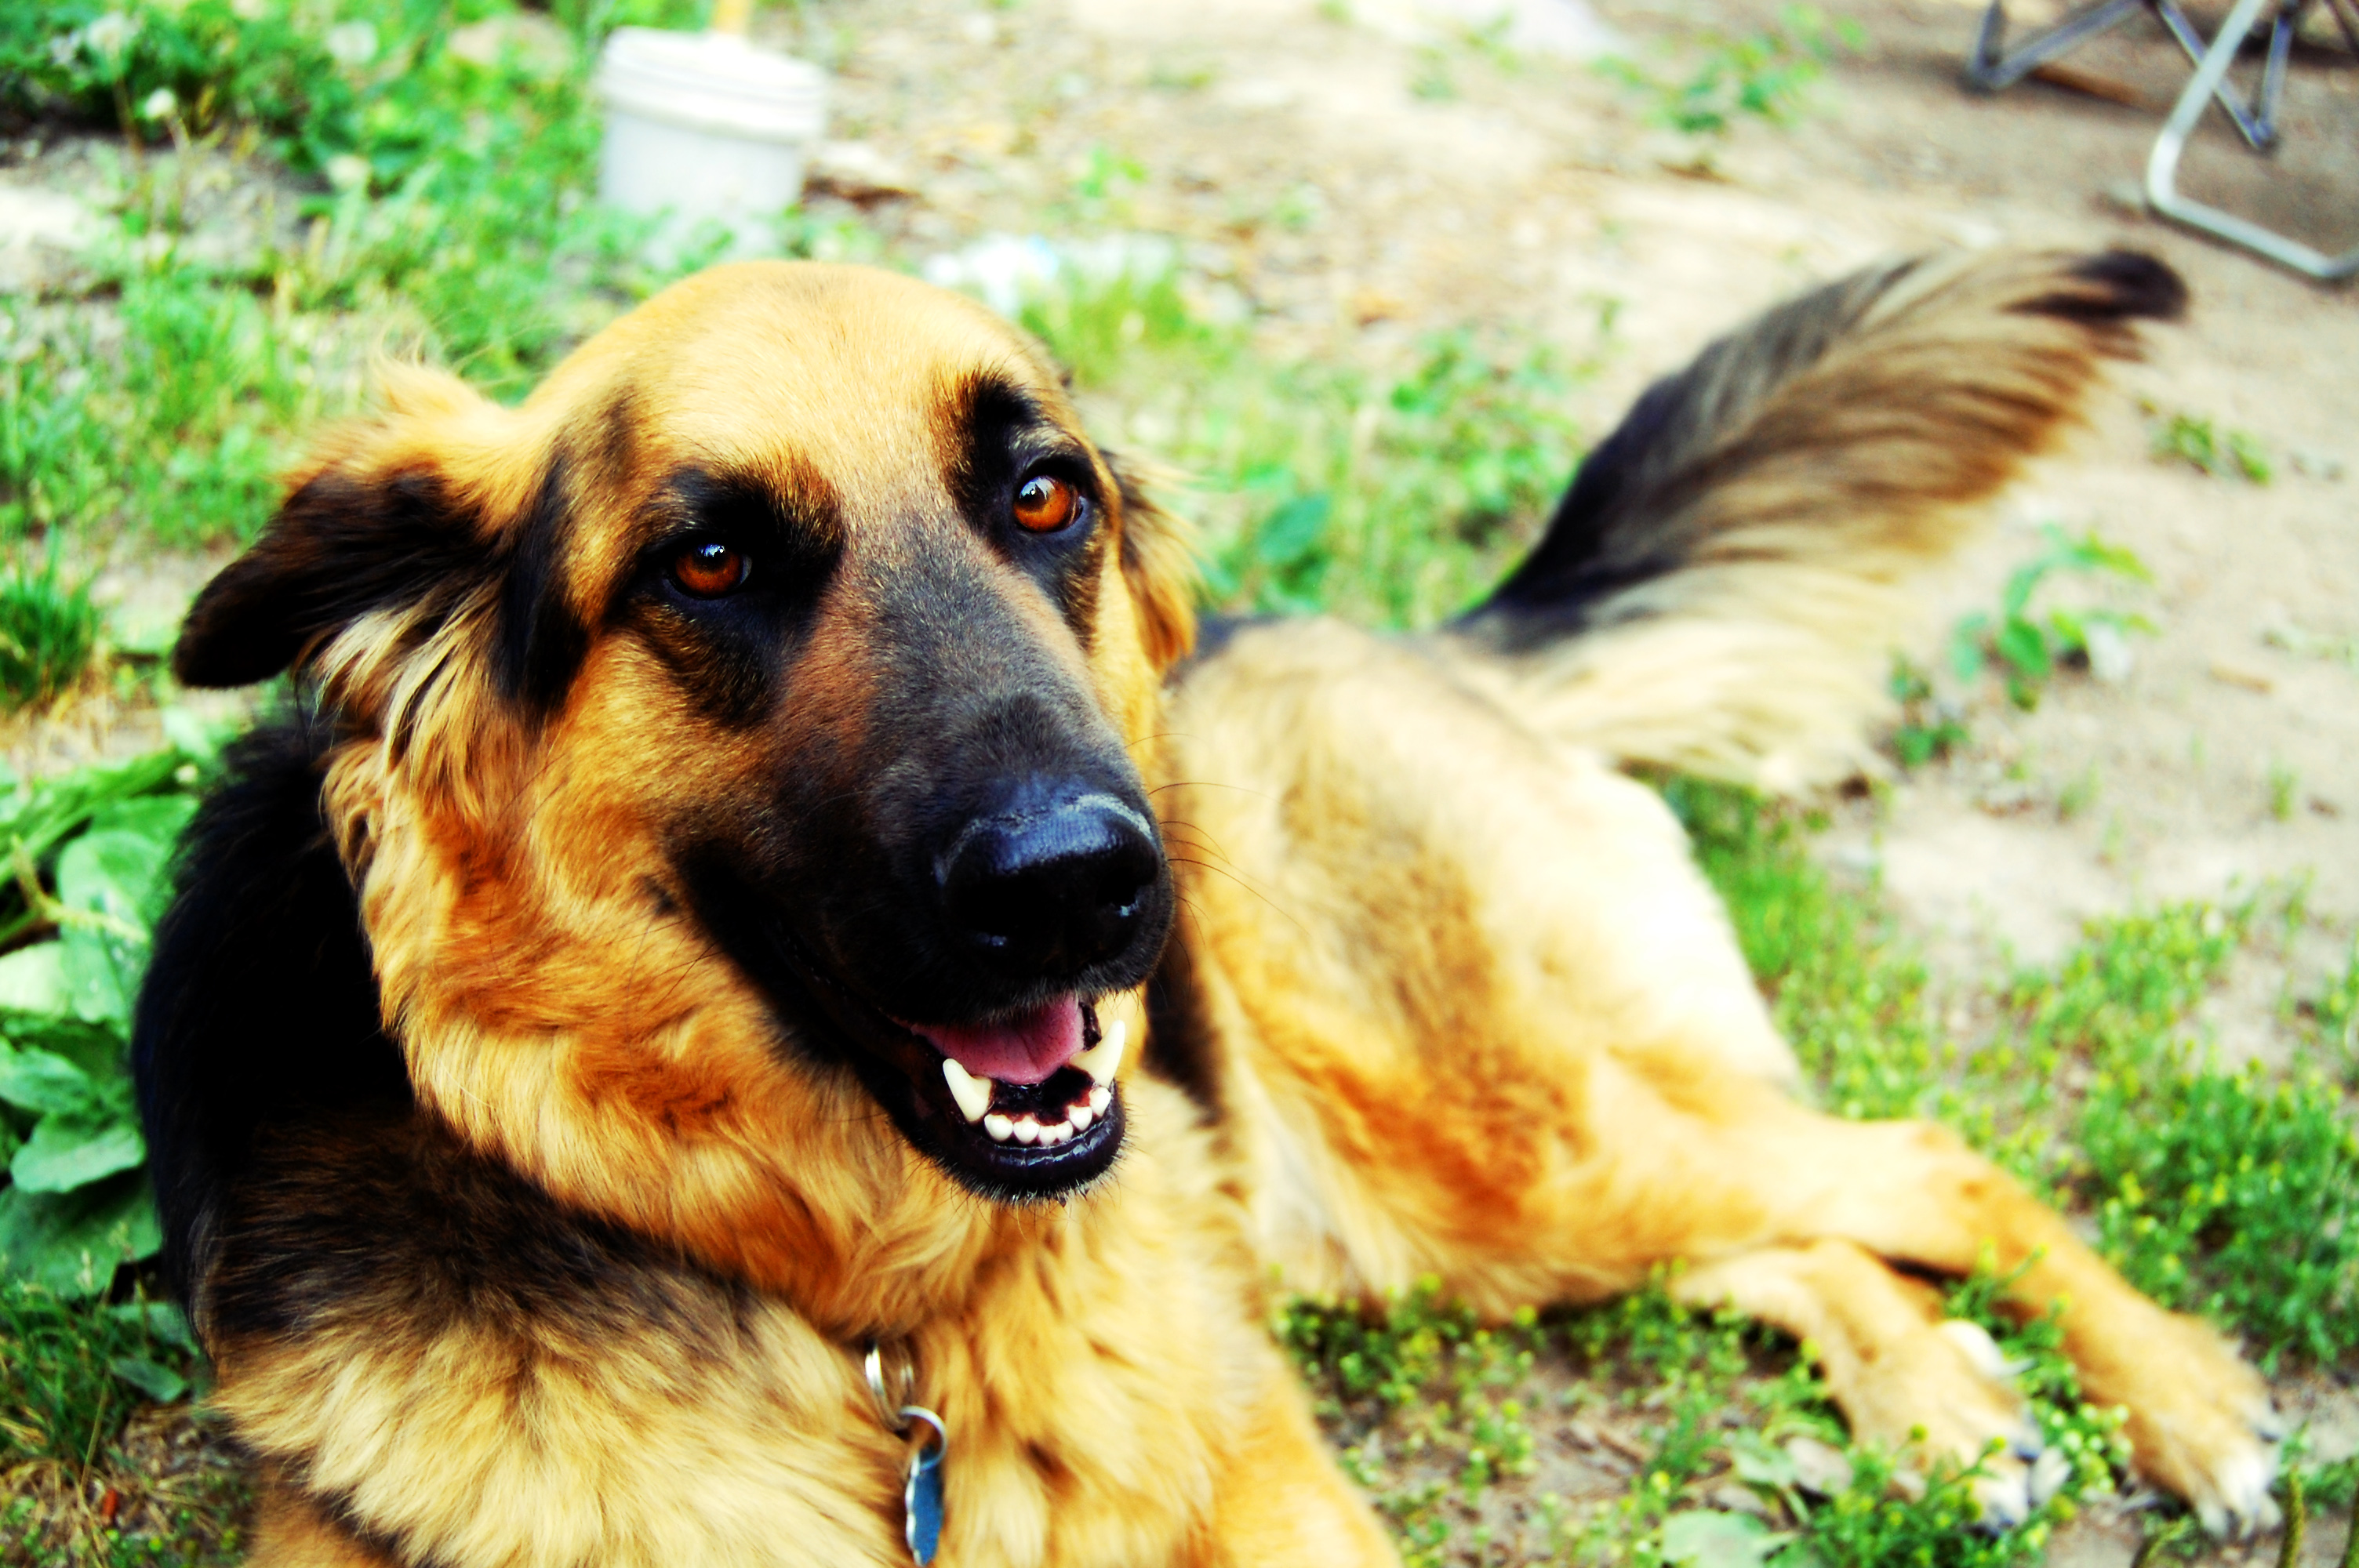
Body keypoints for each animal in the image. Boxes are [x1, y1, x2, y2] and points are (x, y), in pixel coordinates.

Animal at [137, 251, 2274, 1555]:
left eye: (1044, 497)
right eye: (710, 560)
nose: (1091, 887)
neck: (875, 1323)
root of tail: (1425, 633)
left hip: (1473, 1136)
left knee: (1918, 1160)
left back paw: (2180, 1399)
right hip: (1449, 1213)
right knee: (1788, 1232)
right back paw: (1947, 1400)